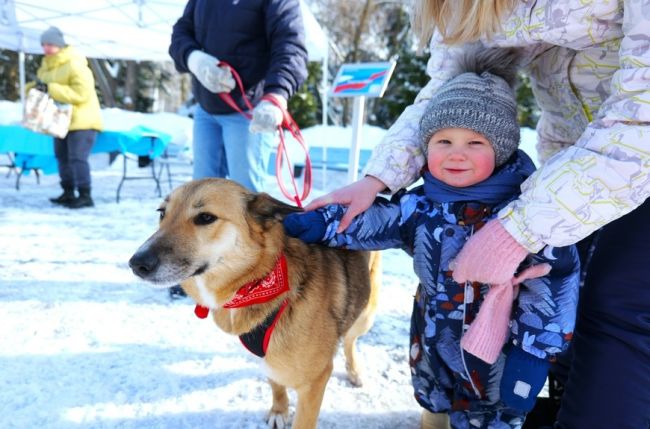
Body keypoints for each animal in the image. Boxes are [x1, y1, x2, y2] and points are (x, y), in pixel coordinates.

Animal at [128, 178, 380, 428]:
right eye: (162, 213)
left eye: (205, 218)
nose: (136, 264)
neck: (255, 284)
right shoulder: (265, 357)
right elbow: (276, 384)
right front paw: (279, 410)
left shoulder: (314, 383)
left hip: (365, 315)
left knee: (350, 339)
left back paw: (355, 371)